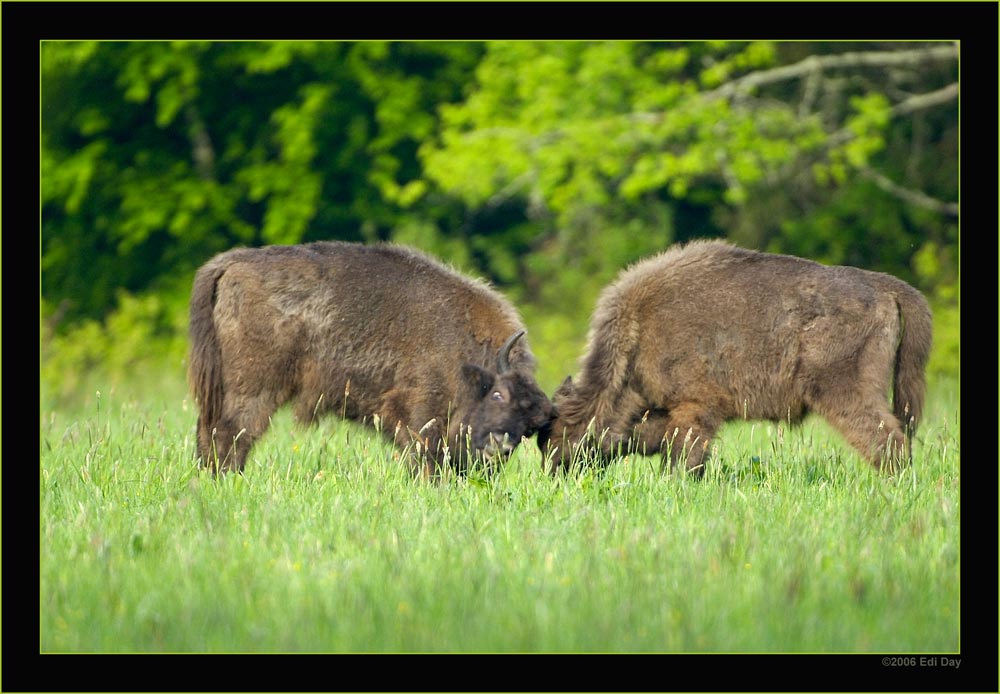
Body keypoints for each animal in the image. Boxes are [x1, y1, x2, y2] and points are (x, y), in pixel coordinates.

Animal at [189, 241, 552, 475]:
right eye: (498, 394)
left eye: (530, 427)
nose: (499, 447)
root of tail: (231, 264)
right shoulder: (421, 418)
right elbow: (426, 459)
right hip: (254, 388)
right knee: (233, 433)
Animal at [538, 239, 932, 476]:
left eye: (561, 436)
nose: (556, 476)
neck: (636, 333)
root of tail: (883, 285)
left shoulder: (695, 408)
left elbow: (683, 454)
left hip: (843, 391)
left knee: (886, 439)